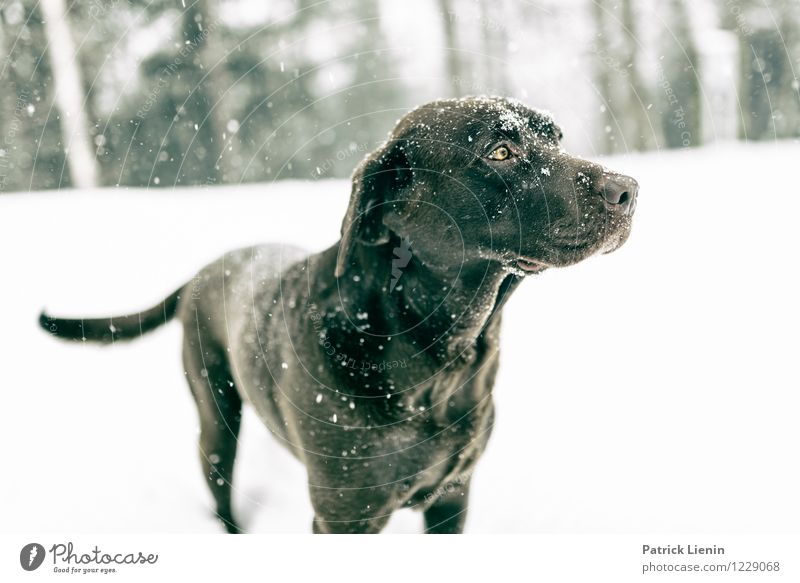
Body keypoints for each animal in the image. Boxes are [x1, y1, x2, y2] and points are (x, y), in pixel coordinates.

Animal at [40, 98, 636, 536]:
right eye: (501, 150)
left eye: (556, 139)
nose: (629, 189)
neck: (435, 355)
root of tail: (207, 269)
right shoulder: (345, 517)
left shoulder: (453, 497)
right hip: (216, 417)